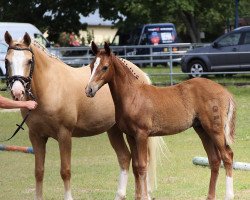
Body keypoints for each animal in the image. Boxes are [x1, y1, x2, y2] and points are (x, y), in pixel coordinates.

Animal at [3, 32, 166, 199]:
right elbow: (38, 172)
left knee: (142, 162)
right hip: (114, 130)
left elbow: (65, 171)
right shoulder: (36, 136)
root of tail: (140, 74)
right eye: (6, 61)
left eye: (29, 61)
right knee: (125, 158)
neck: (49, 88)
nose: (17, 92)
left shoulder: (64, 134)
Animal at [85, 41, 236, 199]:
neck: (132, 96)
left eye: (105, 67)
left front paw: (145, 196)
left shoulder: (142, 134)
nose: (89, 90)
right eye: (91, 66)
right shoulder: (131, 136)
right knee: (214, 160)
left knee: (227, 156)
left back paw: (228, 195)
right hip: (202, 130)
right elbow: (135, 166)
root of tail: (225, 92)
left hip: (215, 130)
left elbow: (142, 166)